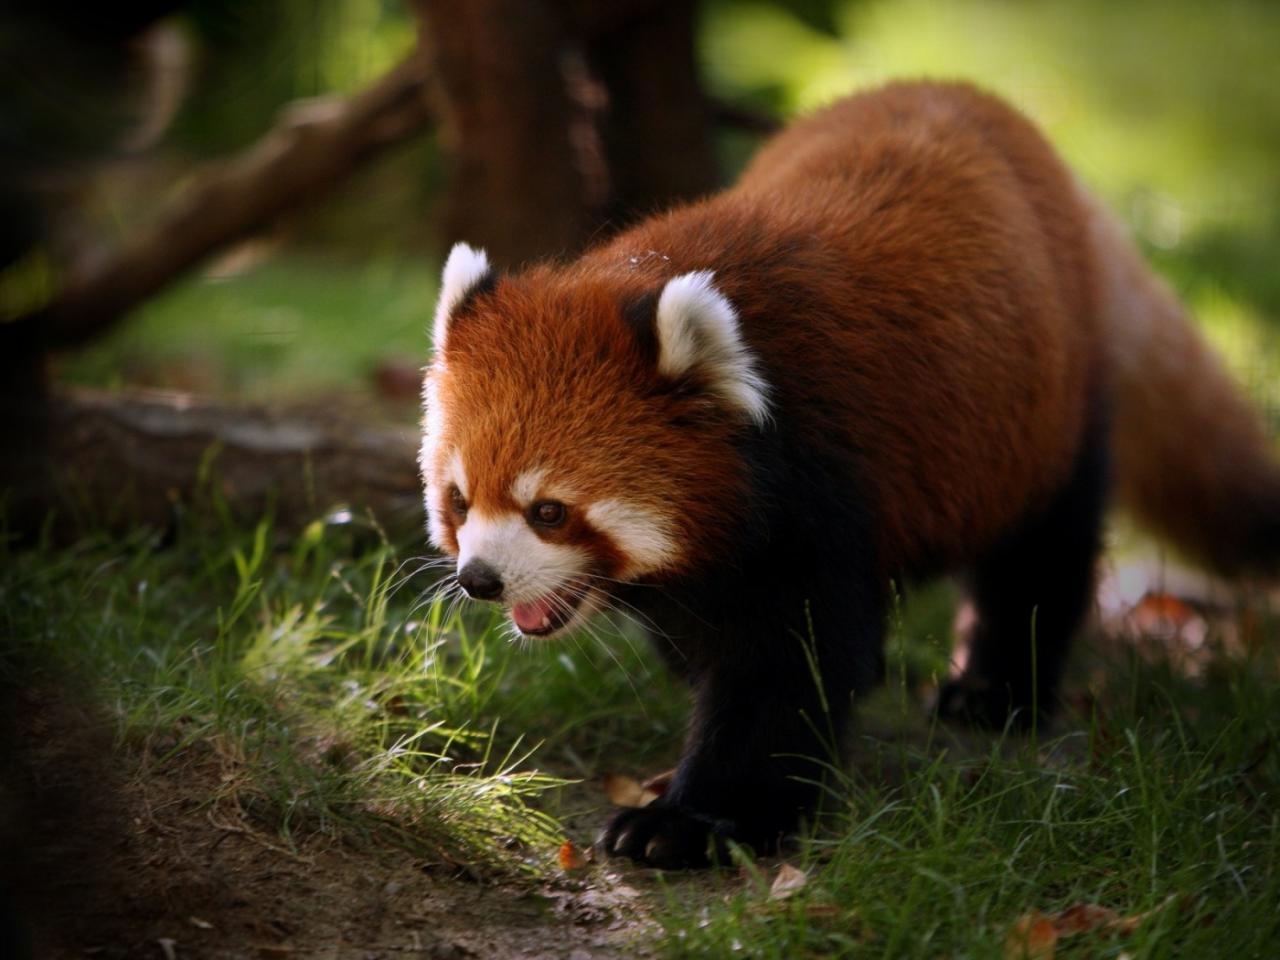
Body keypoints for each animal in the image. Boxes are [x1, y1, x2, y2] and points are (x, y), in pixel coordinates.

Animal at [419, 82, 1280, 870]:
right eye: (459, 501)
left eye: (550, 510)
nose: (480, 579)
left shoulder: (823, 489)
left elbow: (783, 673)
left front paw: (695, 821)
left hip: (1046, 415)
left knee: (1041, 553)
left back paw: (996, 691)